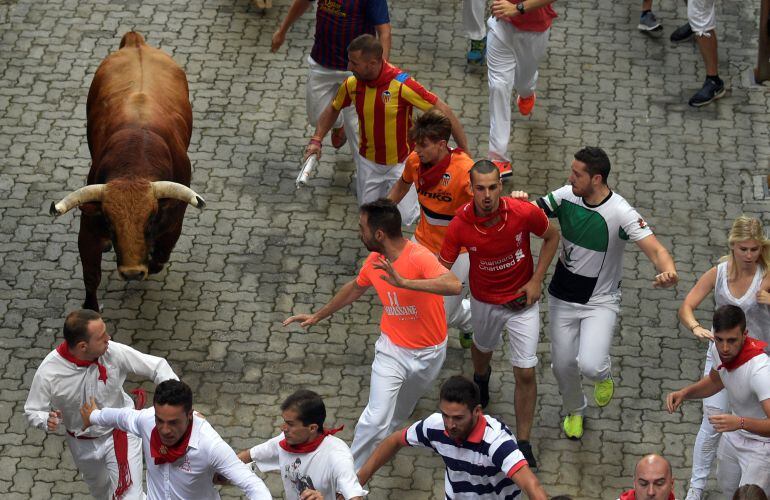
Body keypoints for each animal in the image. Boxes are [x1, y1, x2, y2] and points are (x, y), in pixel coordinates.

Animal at [51, 32, 204, 308]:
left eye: (151, 219)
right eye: (110, 221)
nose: (132, 272)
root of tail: (136, 42)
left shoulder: (174, 222)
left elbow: (160, 257)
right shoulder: (88, 230)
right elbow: (91, 276)